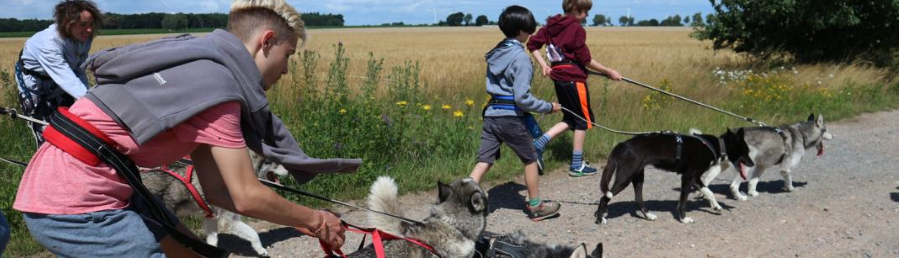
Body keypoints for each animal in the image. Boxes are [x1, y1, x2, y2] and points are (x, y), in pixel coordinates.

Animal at [141, 151, 284, 256]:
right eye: (272, 162)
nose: (288, 170)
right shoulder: (228, 221)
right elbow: (253, 233)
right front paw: (260, 249)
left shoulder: (210, 219)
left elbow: (212, 241)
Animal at [596, 129, 756, 224]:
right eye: (746, 151)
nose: (753, 163)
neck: (717, 145)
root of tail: (622, 144)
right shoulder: (688, 178)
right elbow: (684, 201)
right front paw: (684, 218)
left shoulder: (694, 178)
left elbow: (709, 192)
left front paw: (715, 206)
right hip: (625, 177)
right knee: (604, 197)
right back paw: (599, 218)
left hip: (638, 177)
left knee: (638, 199)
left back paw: (648, 216)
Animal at [704, 114, 836, 201]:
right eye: (826, 130)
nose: (833, 136)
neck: (801, 133)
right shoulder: (786, 168)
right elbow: (789, 179)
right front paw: (790, 188)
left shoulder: (761, 166)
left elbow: (753, 182)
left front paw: (753, 193)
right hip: (745, 167)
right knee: (733, 186)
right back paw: (740, 197)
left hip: (722, 166)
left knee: (705, 180)